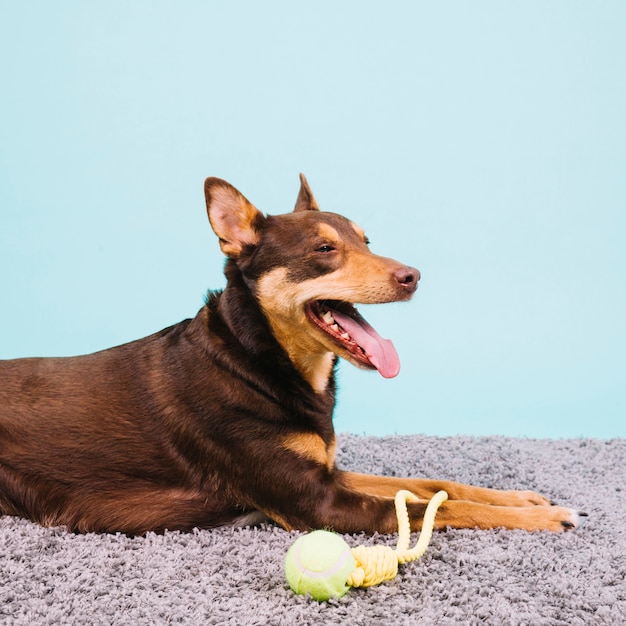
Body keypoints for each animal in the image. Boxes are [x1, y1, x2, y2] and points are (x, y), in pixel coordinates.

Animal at [1, 174, 584, 532]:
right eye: (325, 249)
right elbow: (432, 509)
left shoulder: (325, 473)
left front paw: (523, 500)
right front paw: (543, 519)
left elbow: (433, 486)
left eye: (368, 241)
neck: (257, 361)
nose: (414, 276)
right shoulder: (318, 502)